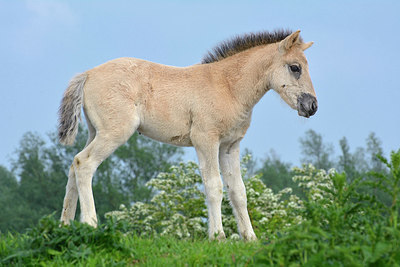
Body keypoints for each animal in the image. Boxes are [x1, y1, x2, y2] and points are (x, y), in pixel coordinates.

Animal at [59, 29, 318, 241]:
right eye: (295, 67)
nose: (312, 106)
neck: (228, 87)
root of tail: (88, 74)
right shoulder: (206, 140)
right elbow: (214, 186)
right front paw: (218, 236)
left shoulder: (230, 146)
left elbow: (238, 191)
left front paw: (250, 238)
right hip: (115, 132)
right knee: (84, 163)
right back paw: (90, 225)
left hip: (95, 132)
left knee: (73, 164)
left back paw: (65, 226)